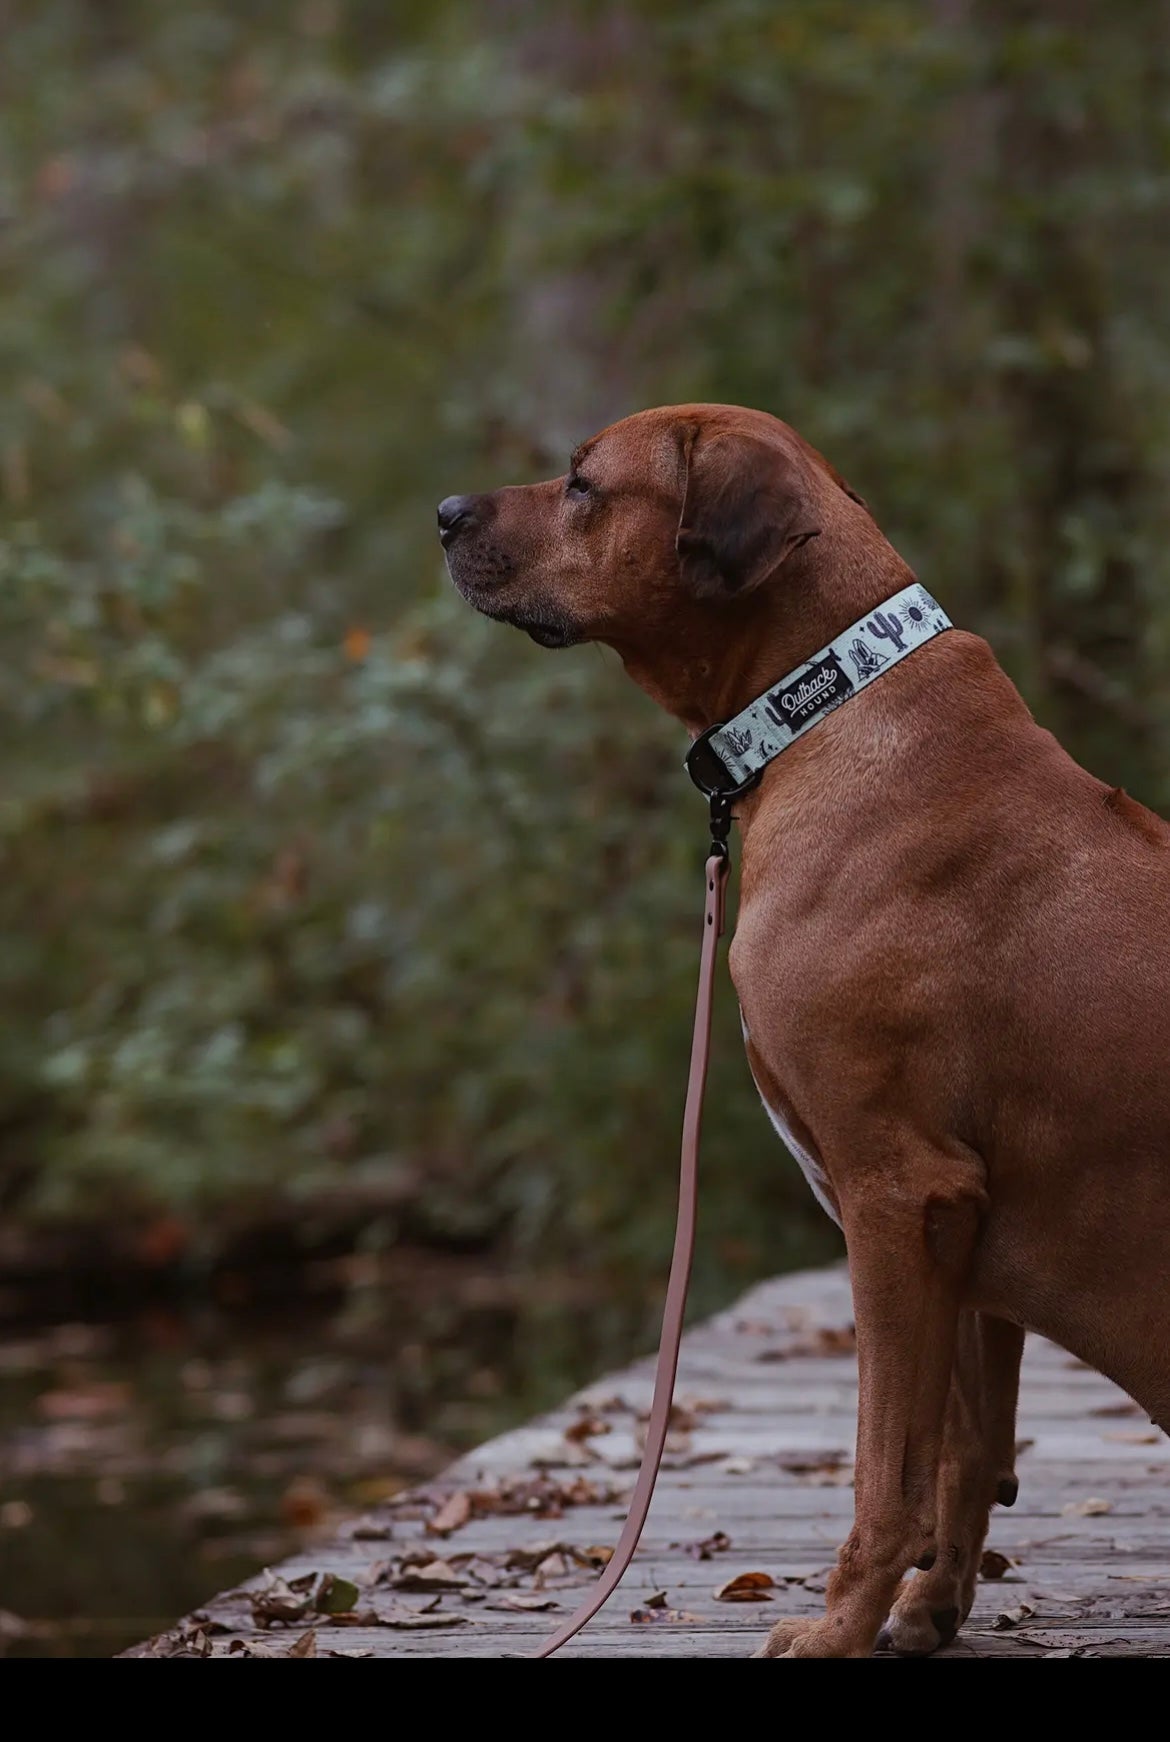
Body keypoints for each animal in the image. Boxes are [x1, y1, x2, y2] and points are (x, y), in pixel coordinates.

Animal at [437, 400, 1170, 1651]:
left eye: (582, 483)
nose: (443, 513)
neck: (825, 708)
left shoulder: (895, 1191)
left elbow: (884, 1471)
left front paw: (837, 1629)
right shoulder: (965, 1226)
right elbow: (964, 1449)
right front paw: (930, 1605)